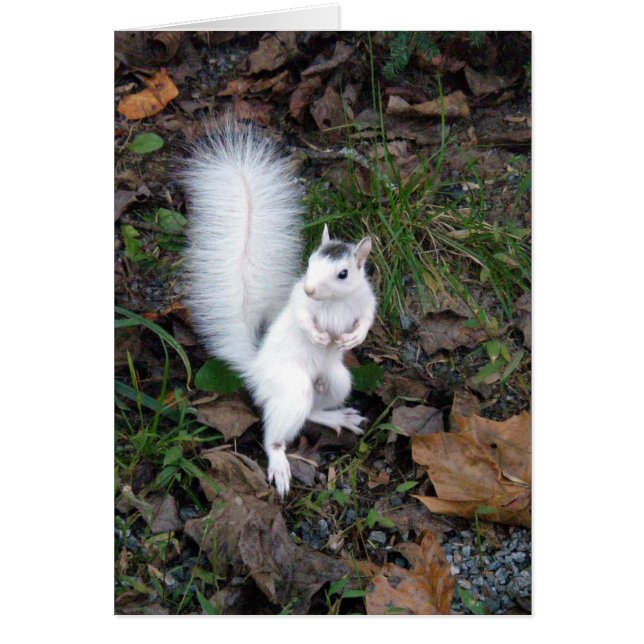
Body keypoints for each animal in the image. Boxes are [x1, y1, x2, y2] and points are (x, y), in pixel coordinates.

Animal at [182, 117, 377, 497]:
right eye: (310, 263)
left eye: (343, 273)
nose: (310, 288)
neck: (334, 303)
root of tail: (256, 370)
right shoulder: (299, 303)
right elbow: (302, 317)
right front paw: (318, 336)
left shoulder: (366, 300)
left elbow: (366, 319)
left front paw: (352, 338)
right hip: (292, 388)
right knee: (275, 435)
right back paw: (280, 463)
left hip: (337, 381)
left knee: (313, 410)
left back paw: (335, 416)